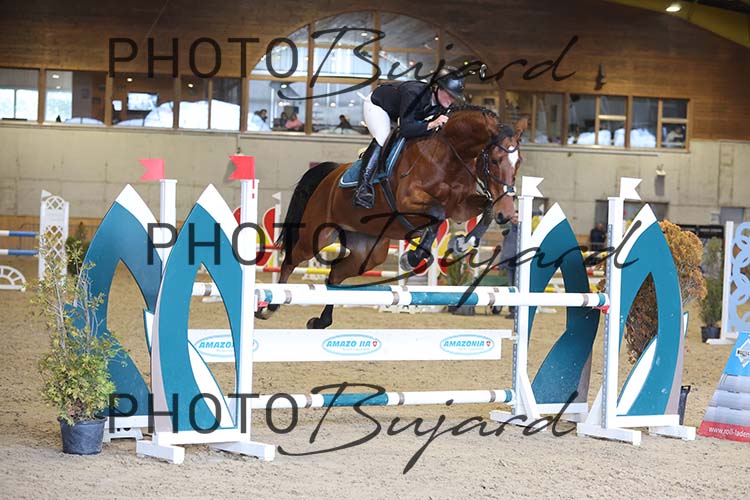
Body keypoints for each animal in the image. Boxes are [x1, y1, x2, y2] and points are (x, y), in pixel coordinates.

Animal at [265, 108, 526, 329]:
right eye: (495, 161)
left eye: (518, 163)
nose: (507, 214)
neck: (450, 154)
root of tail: (330, 174)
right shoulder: (407, 202)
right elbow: (438, 215)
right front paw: (412, 257)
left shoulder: (461, 206)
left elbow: (486, 208)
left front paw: (464, 242)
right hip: (316, 236)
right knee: (291, 260)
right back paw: (269, 307)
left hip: (369, 252)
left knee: (336, 275)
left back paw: (321, 321)